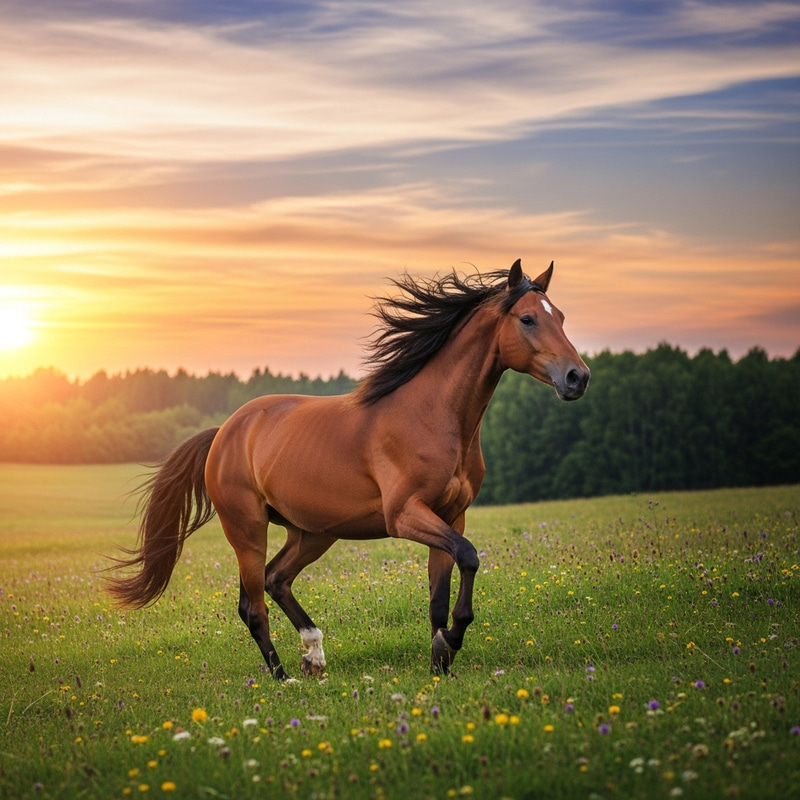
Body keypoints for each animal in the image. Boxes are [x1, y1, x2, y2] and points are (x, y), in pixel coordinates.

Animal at [106, 259, 590, 678]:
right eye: (527, 319)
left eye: (563, 317)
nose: (577, 377)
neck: (434, 416)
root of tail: (225, 432)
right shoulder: (405, 515)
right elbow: (469, 556)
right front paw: (450, 641)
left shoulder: (452, 515)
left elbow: (443, 590)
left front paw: (441, 662)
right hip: (247, 529)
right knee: (253, 605)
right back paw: (283, 677)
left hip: (313, 532)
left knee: (276, 580)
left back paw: (314, 655)